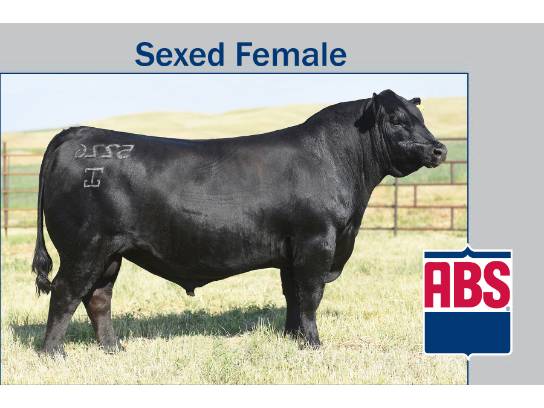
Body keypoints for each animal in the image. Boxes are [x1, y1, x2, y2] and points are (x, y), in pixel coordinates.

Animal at [32, 89, 447, 356]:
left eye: (422, 118)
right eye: (397, 120)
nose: (439, 149)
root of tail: (77, 132)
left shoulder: (292, 251)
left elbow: (293, 296)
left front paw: (292, 338)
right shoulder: (316, 242)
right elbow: (311, 295)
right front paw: (313, 344)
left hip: (110, 251)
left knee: (98, 297)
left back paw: (114, 349)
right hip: (85, 246)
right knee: (66, 293)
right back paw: (53, 354)